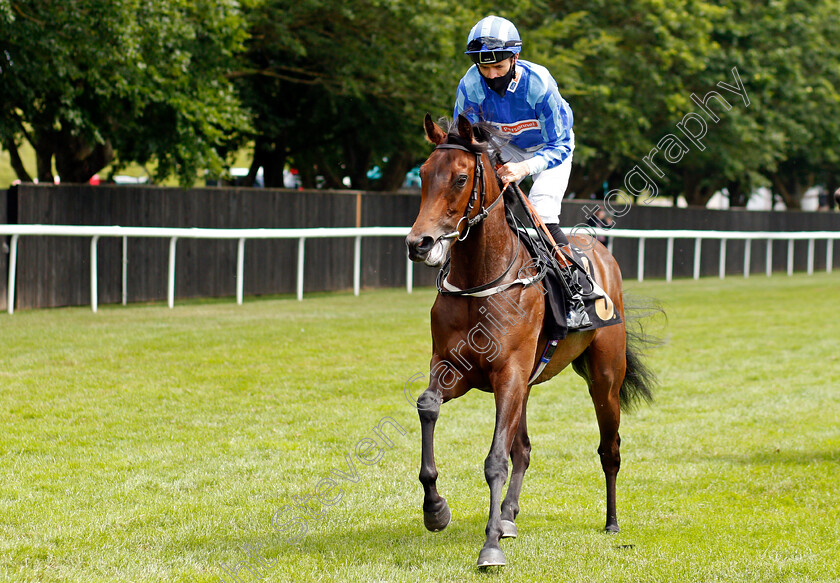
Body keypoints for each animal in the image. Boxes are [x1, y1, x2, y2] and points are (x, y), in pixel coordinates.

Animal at [406, 112, 656, 568]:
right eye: (424, 173)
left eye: (461, 177)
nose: (419, 243)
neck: (481, 281)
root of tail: (598, 248)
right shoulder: (456, 368)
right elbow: (428, 405)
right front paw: (435, 509)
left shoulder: (508, 374)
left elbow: (495, 460)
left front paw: (489, 546)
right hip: (526, 386)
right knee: (523, 448)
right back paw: (507, 516)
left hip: (604, 379)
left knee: (609, 448)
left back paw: (612, 522)